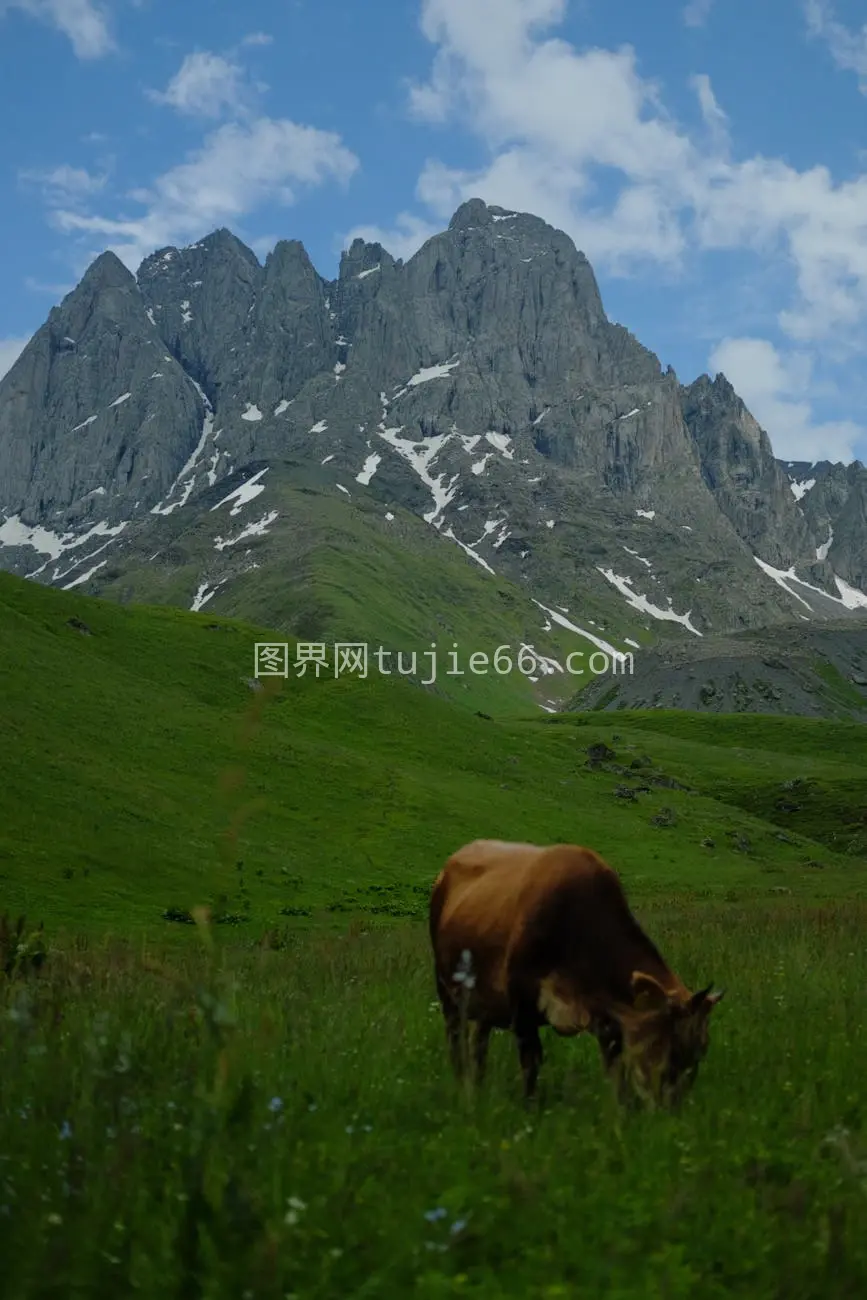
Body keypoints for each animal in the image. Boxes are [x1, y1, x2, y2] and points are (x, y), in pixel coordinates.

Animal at [428, 842, 727, 1107]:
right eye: (675, 1049)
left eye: (702, 1049)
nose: (672, 1109)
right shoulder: (521, 1003)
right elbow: (531, 1062)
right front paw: (530, 1107)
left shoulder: (609, 1018)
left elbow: (617, 1073)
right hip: (446, 988)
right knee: (455, 1037)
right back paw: (462, 1083)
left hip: (485, 1000)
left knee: (479, 1043)